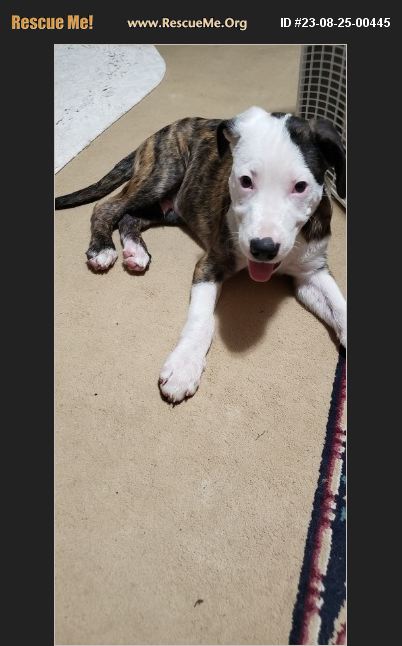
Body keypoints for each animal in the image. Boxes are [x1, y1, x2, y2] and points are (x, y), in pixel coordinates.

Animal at [55, 107, 346, 403]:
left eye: (301, 186)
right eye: (245, 181)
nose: (263, 248)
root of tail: (166, 128)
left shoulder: (311, 272)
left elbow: (340, 308)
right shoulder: (210, 263)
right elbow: (201, 319)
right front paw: (184, 366)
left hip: (169, 207)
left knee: (129, 218)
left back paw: (135, 251)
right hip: (162, 176)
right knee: (107, 207)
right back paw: (102, 247)